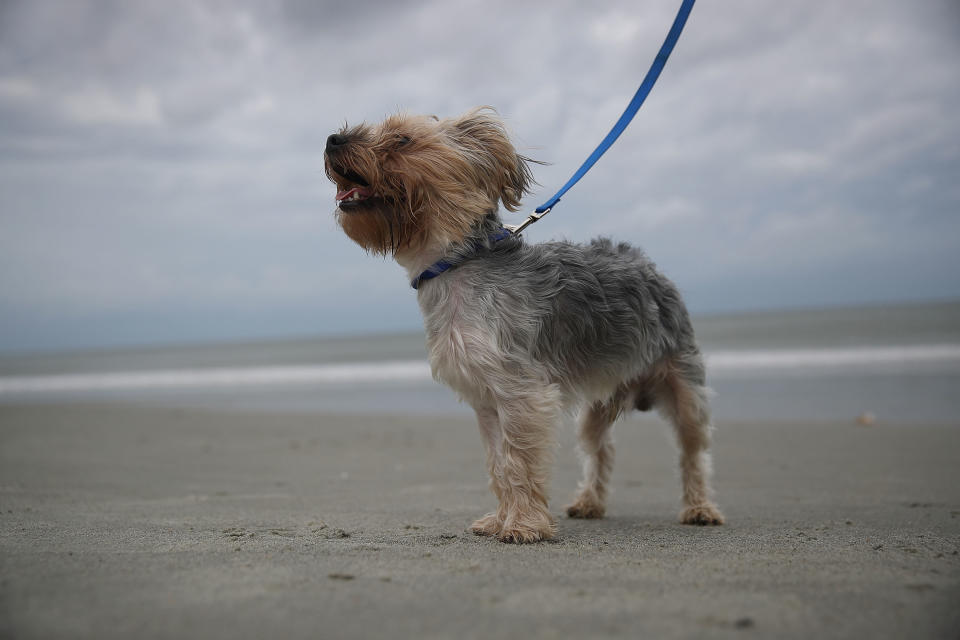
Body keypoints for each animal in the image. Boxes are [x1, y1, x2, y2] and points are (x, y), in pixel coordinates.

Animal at [326, 107, 724, 544]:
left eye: (401, 140)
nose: (332, 139)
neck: (454, 264)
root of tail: (648, 266)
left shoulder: (522, 393)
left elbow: (518, 460)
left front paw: (523, 525)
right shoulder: (486, 401)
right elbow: (498, 463)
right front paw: (501, 519)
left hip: (684, 383)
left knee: (693, 450)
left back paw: (700, 507)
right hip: (600, 398)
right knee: (600, 449)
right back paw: (590, 501)